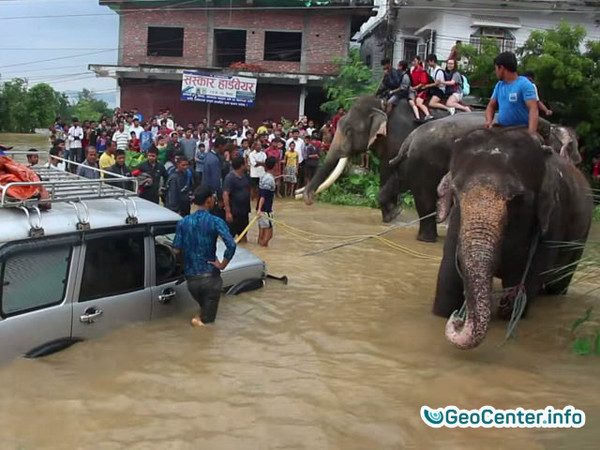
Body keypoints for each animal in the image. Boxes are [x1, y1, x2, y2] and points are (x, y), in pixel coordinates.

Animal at [428, 128, 592, 350]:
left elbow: (517, 296)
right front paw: (447, 310)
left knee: (558, 285)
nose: (458, 319)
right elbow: (447, 286)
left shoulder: (551, 222)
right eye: (455, 193)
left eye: (517, 199)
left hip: (579, 239)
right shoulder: (456, 222)